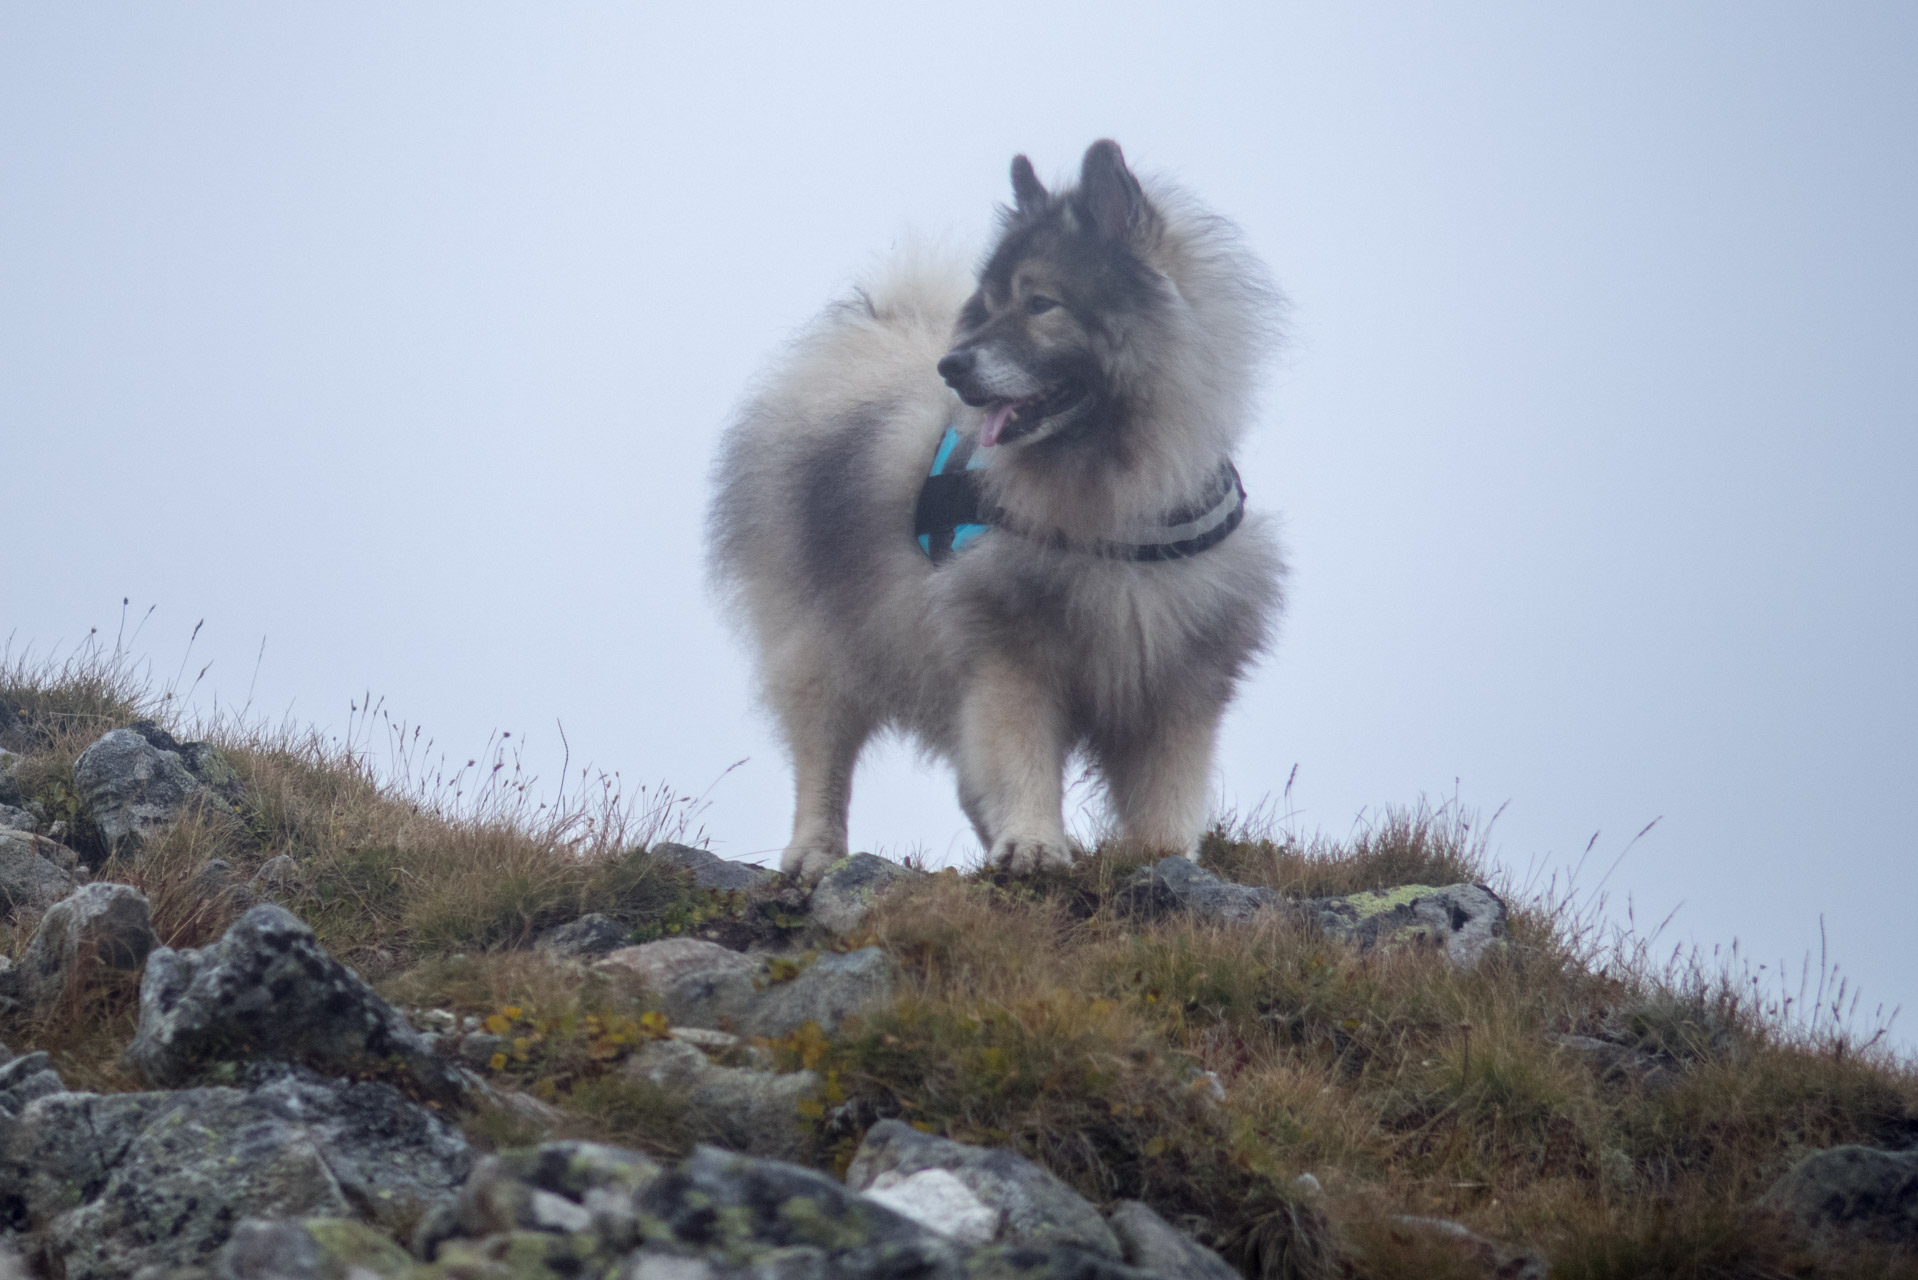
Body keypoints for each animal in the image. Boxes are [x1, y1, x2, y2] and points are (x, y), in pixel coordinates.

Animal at [713, 142, 1281, 882]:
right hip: (822, 646)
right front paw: (1034, 844)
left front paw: (1162, 859)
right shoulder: (1012, 651)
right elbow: (1021, 759)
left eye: (1041, 303)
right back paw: (815, 854)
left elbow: (1168, 788)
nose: (951, 366)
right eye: (985, 307)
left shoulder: (1178, 672)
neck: (1121, 497)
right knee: (823, 760)